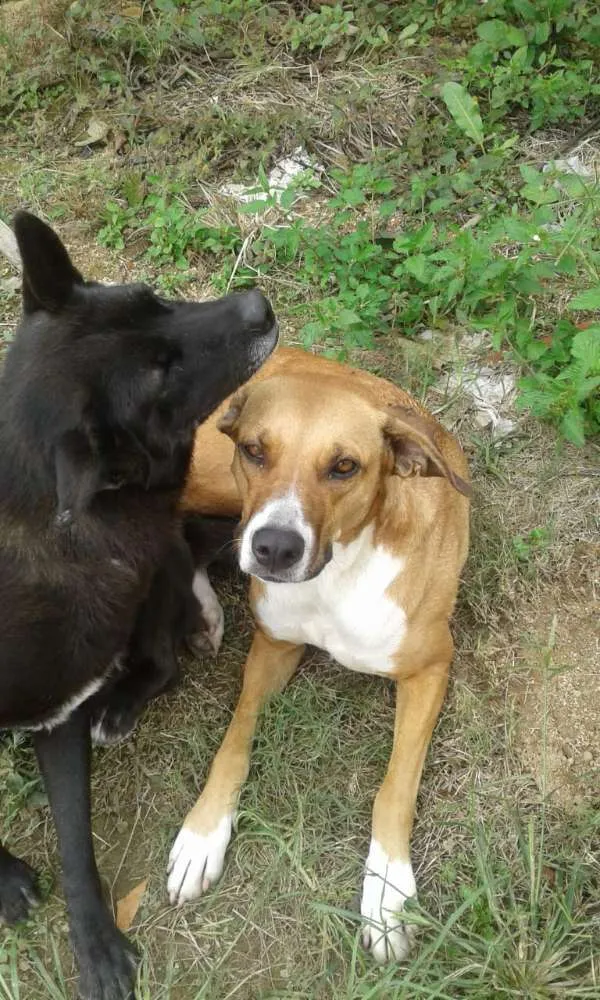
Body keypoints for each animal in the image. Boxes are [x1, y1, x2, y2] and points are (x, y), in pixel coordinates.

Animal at [0, 215, 276, 1000]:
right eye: (161, 375)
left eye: (152, 297)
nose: (259, 305)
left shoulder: (57, 714)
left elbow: (73, 841)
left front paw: (94, 943)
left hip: (142, 586)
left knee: (162, 652)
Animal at [166, 350, 472, 960]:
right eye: (255, 450)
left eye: (344, 467)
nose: (274, 549)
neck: (338, 574)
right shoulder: (273, 646)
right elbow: (232, 745)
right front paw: (202, 833)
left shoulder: (430, 668)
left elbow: (394, 787)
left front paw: (387, 891)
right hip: (213, 481)